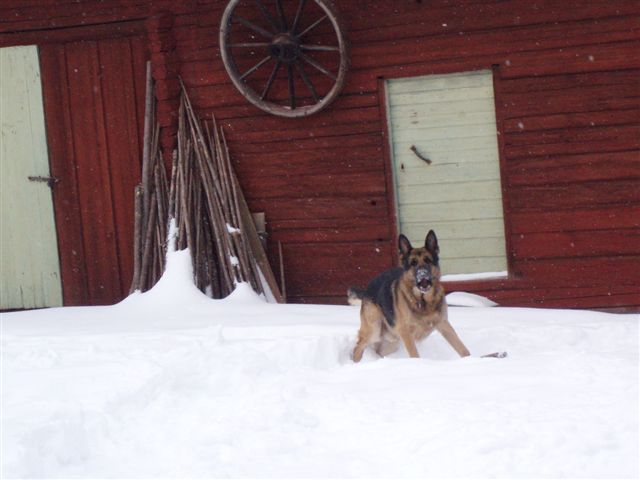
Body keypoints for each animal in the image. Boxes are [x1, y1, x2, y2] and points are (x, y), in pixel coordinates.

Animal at [350, 231, 470, 362]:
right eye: (413, 263)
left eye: (428, 260)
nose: (422, 274)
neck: (422, 301)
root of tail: (367, 289)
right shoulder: (406, 333)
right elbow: (414, 355)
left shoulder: (444, 324)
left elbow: (463, 349)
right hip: (374, 329)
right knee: (358, 347)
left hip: (392, 340)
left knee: (378, 351)